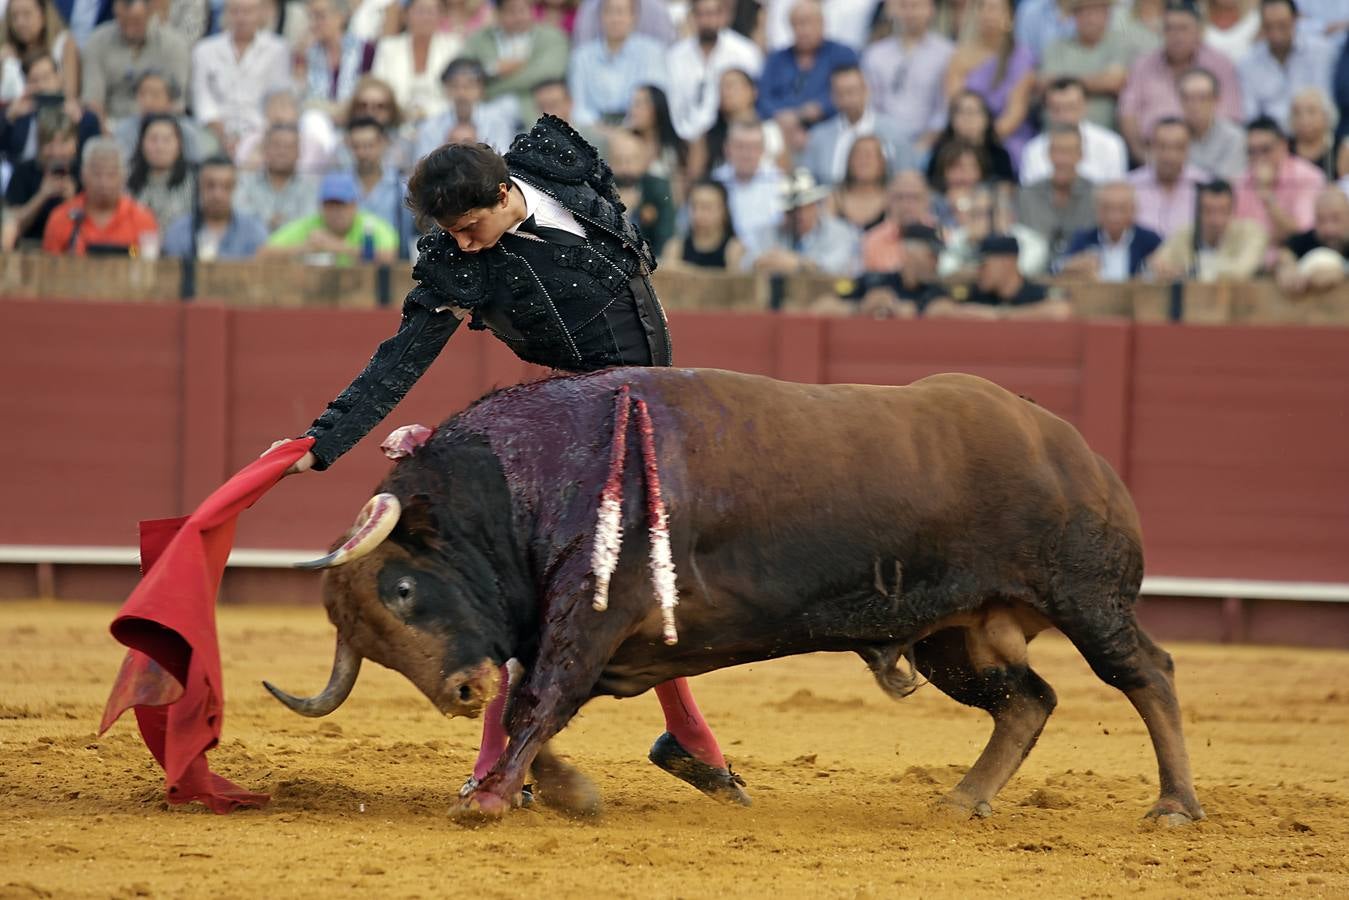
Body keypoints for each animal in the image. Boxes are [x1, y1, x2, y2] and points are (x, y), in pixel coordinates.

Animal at [260, 369, 1203, 825]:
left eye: (404, 587)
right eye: (373, 645)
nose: (458, 691)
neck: (516, 488)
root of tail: (1071, 445)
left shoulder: (586, 619)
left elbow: (538, 700)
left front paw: (490, 800)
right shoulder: (577, 637)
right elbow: (538, 707)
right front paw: (549, 790)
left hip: (1085, 596)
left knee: (1145, 674)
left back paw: (1172, 806)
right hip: (953, 633)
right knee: (1027, 701)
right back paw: (961, 800)